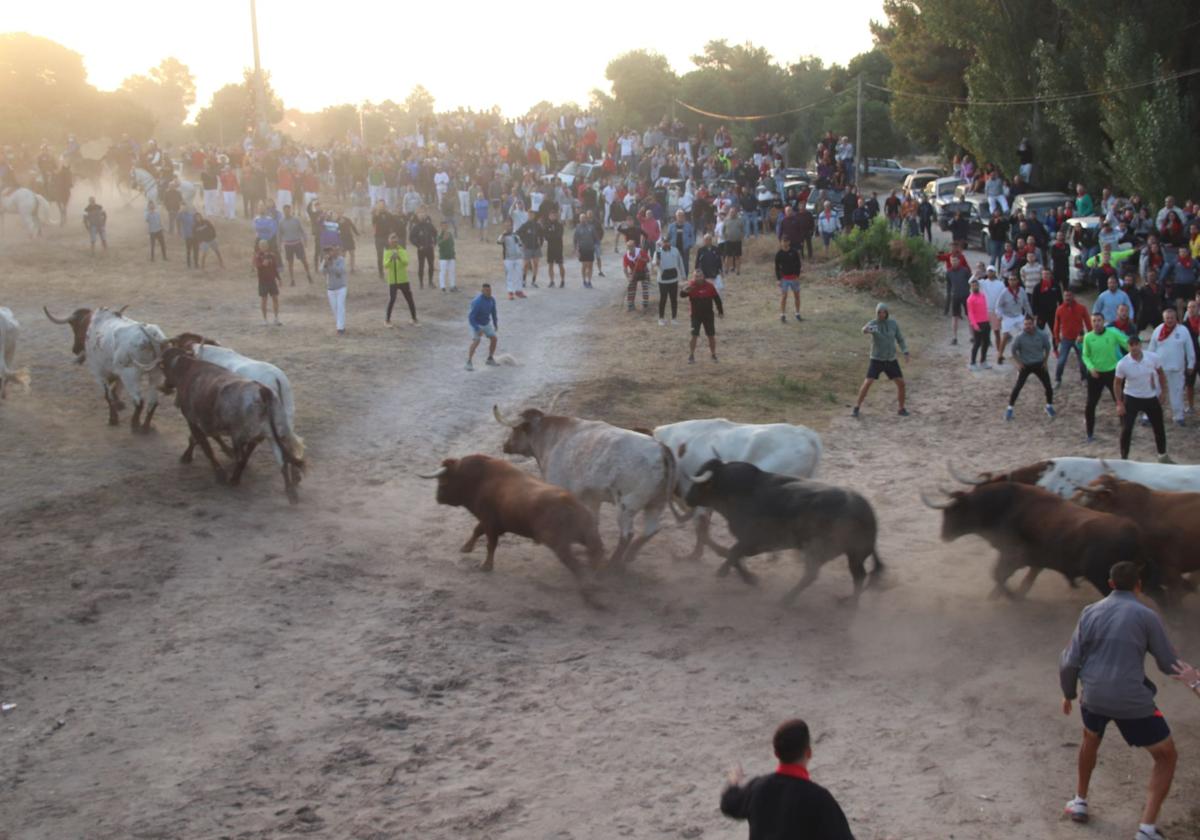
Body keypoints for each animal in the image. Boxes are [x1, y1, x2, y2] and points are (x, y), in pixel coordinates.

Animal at [44, 303, 165, 432]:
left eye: (75, 328)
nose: (74, 349)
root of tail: (151, 336)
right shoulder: (118, 373)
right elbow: (115, 390)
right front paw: (119, 405)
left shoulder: (99, 372)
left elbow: (108, 395)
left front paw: (113, 419)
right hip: (155, 374)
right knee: (153, 402)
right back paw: (146, 427)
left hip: (130, 375)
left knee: (139, 401)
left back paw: (135, 426)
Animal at [159, 345, 304, 501]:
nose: (165, 387)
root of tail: (275, 379)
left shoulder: (201, 417)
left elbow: (201, 438)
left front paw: (188, 456)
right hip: (282, 422)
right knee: (288, 445)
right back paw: (293, 481)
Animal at [420, 453, 604, 604]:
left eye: (443, 481)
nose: (438, 497)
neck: (479, 479)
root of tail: (571, 503)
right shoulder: (490, 522)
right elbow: (477, 531)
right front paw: (466, 548)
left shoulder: (489, 521)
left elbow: (490, 544)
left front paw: (486, 566)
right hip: (587, 535)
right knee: (595, 554)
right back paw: (597, 583)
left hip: (559, 543)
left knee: (576, 564)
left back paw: (589, 593)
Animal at [686, 458, 883, 604]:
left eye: (699, 485)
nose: (687, 498)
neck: (740, 492)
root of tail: (865, 511)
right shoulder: (753, 544)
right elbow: (732, 553)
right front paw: (749, 578)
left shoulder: (755, 541)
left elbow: (733, 551)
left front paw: (724, 572)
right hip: (854, 554)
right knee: (858, 575)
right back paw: (848, 601)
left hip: (821, 550)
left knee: (815, 575)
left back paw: (788, 600)